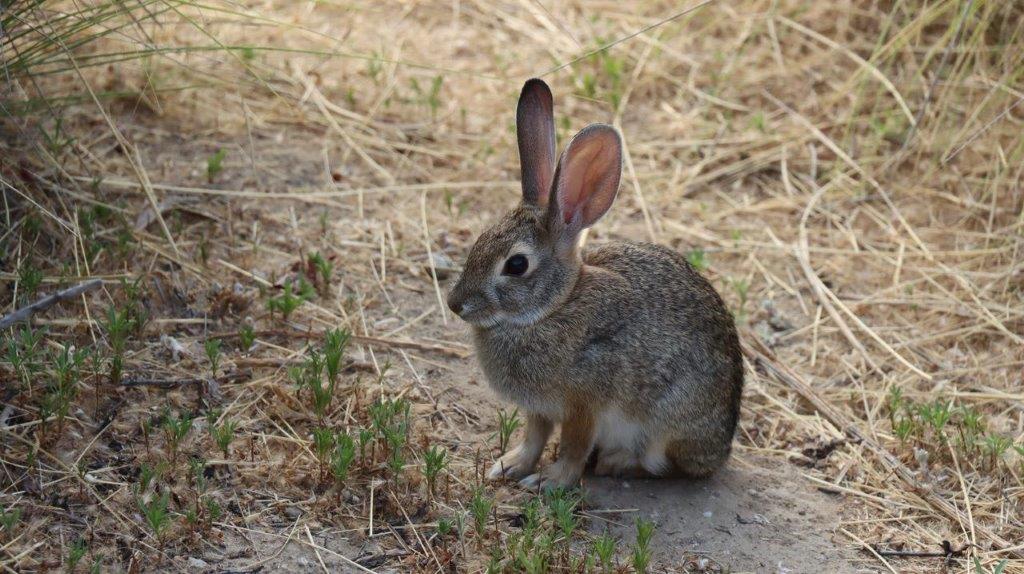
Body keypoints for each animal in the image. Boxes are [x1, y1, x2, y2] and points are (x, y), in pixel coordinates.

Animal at [444, 77, 741, 487]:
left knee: (663, 464)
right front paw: (509, 465)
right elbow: (534, 437)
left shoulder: (586, 402)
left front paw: (550, 481)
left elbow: (573, 445)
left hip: (666, 425)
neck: (552, 308)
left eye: (516, 265)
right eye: (479, 241)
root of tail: (720, 448)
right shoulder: (539, 408)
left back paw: (614, 462)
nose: (455, 303)